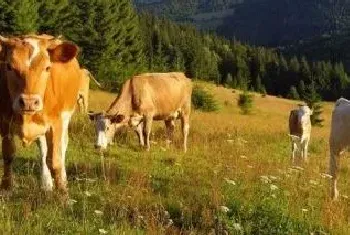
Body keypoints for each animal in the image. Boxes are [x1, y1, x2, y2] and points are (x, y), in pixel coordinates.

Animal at [0, 34, 81, 194]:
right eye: (9, 66)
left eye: (47, 68)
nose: (29, 102)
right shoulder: (5, 122)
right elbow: (8, 155)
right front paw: (6, 188)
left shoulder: (56, 124)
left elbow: (55, 161)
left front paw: (63, 194)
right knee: (43, 151)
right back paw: (47, 184)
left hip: (65, 119)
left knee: (61, 148)